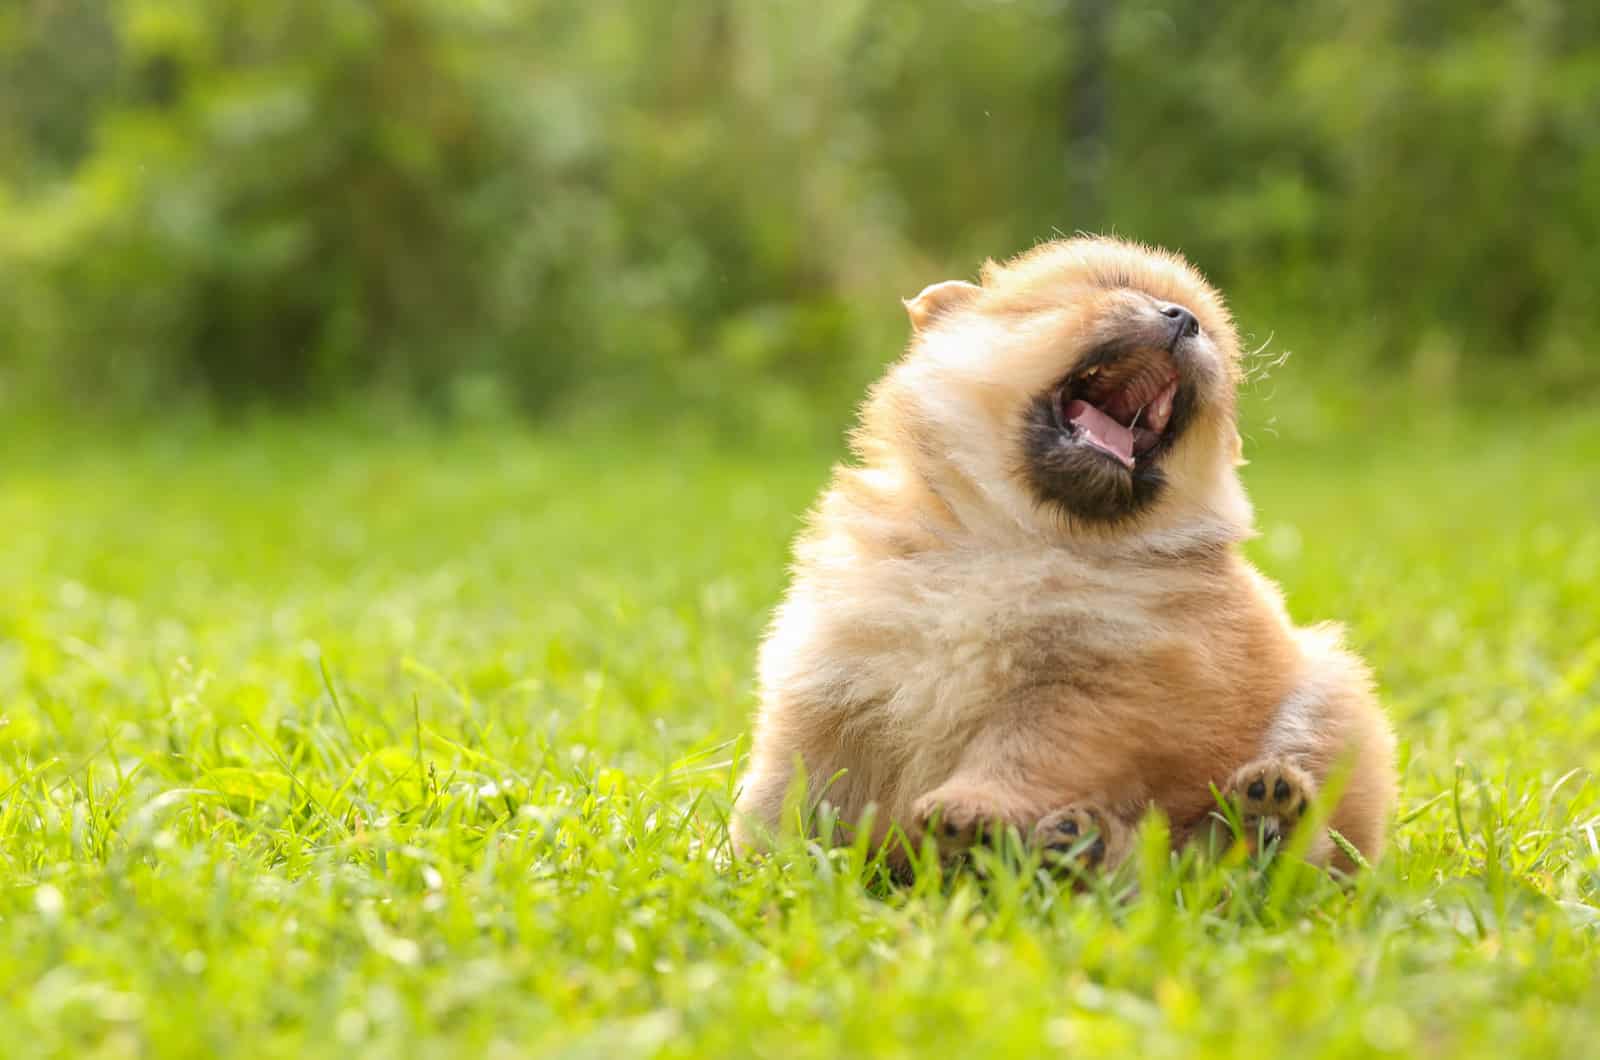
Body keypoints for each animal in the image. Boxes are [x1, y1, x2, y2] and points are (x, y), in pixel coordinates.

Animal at [732, 236, 1395, 877]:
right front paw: (755, 861)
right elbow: (793, 781)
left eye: (1209, 328)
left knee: (1300, 857)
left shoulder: (1096, 687)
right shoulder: (835, 676)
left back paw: (1265, 816)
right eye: (1108, 285)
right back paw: (1081, 845)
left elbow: (1024, 754)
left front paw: (969, 808)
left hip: (1328, 697)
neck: (1017, 534)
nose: (1183, 319)